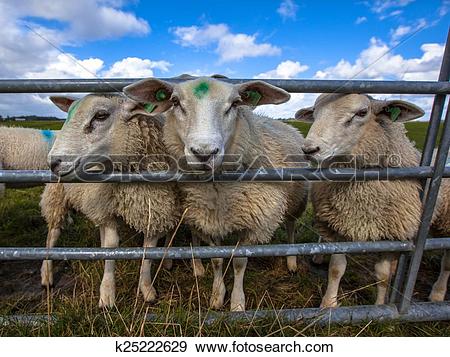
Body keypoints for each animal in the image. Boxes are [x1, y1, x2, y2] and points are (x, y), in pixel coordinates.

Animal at [44, 93, 181, 308]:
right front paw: (107, 294)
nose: (54, 162)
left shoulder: (154, 209)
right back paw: (47, 274)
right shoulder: (107, 211)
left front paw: (147, 289)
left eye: (101, 115)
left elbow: (148, 251)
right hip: (57, 196)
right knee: (52, 234)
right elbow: (111, 247)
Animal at [124, 77, 310, 308]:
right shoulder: (207, 219)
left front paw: (237, 303)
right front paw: (217, 295)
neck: (218, 189)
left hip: (298, 199)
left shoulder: (254, 223)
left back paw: (292, 260)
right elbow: (216, 259)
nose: (204, 153)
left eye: (235, 103)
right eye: (175, 102)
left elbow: (239, 262)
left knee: (291, 226)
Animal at [296, 93, 450, 308]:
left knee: (446, 264)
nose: (309, 149)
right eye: (315, 113)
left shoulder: (392, 235)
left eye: (362, 112)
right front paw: (329, 303)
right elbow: (336, 268)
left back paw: (436, 293)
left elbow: (383, 276)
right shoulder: (340, 225)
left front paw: (380, 305)